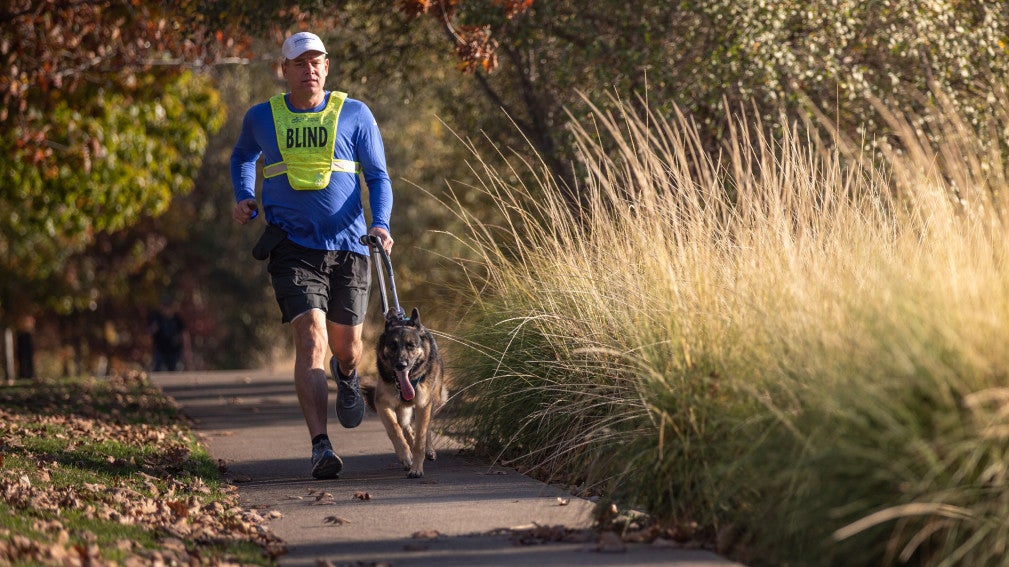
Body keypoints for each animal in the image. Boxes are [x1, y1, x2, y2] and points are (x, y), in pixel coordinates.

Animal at [361, 306, 443, 474]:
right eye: (393, 346)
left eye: (411, 345)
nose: (401, 365)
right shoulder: (382, 404)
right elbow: (394, 429)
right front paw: (405, 455)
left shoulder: (423, 405)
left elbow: (421, 437)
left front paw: (416, 468)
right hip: (403, 410)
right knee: (405, 426)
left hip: (433, 402)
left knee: (426, 428)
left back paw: (429, 450)